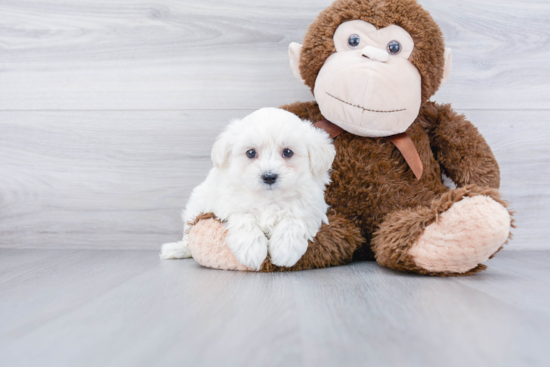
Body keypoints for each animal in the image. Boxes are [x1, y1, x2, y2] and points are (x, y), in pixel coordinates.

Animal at [161, 106, 336, 270]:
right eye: (251, 153)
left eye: (287, 152)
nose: (269, 176)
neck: (268, 199)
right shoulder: (229, 205)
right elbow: (244, 218)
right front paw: (252, 251)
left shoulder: (311, 207)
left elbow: (294, 220)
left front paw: (284, 250)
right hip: (197, 204)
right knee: (188, 234)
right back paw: (177, 249)